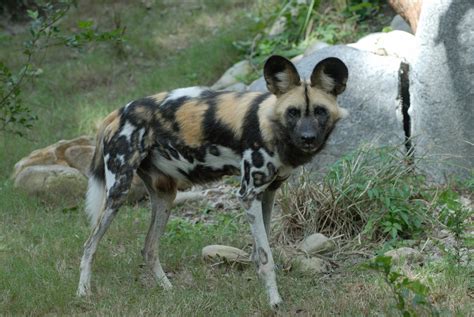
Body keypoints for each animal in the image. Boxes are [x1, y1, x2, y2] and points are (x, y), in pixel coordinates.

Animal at [77, 54, 348, 306]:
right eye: (293, 112)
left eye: (320, 112)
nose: (307, 138)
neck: (273, 127)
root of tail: (117, 112)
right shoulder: (248, 195)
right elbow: (265, 257)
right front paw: (274, 301)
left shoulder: (268, 193)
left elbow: (260, 249)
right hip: (118, 192)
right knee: (89, 245)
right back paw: (83, 293)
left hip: (165, 196)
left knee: (149, 248)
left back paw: (168, 290)